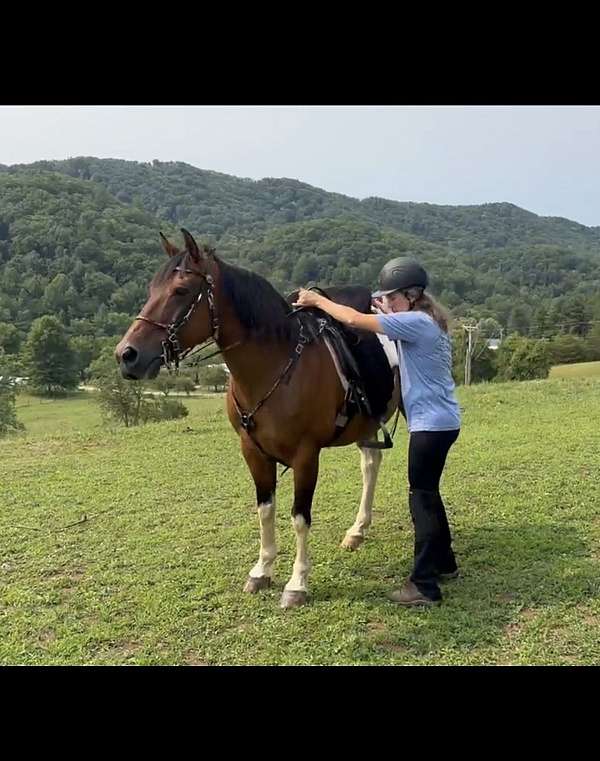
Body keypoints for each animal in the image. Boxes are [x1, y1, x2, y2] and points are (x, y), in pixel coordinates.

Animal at [115, 229, 400, 608]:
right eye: (150, 290)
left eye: (181, 291)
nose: (126, 355)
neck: (276, 364)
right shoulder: (252, 451)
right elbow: (265, 511)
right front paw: (262, 570)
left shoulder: (306, 455)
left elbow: (299, 518)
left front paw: (297, 583)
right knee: (370, 464)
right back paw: (357, 530)